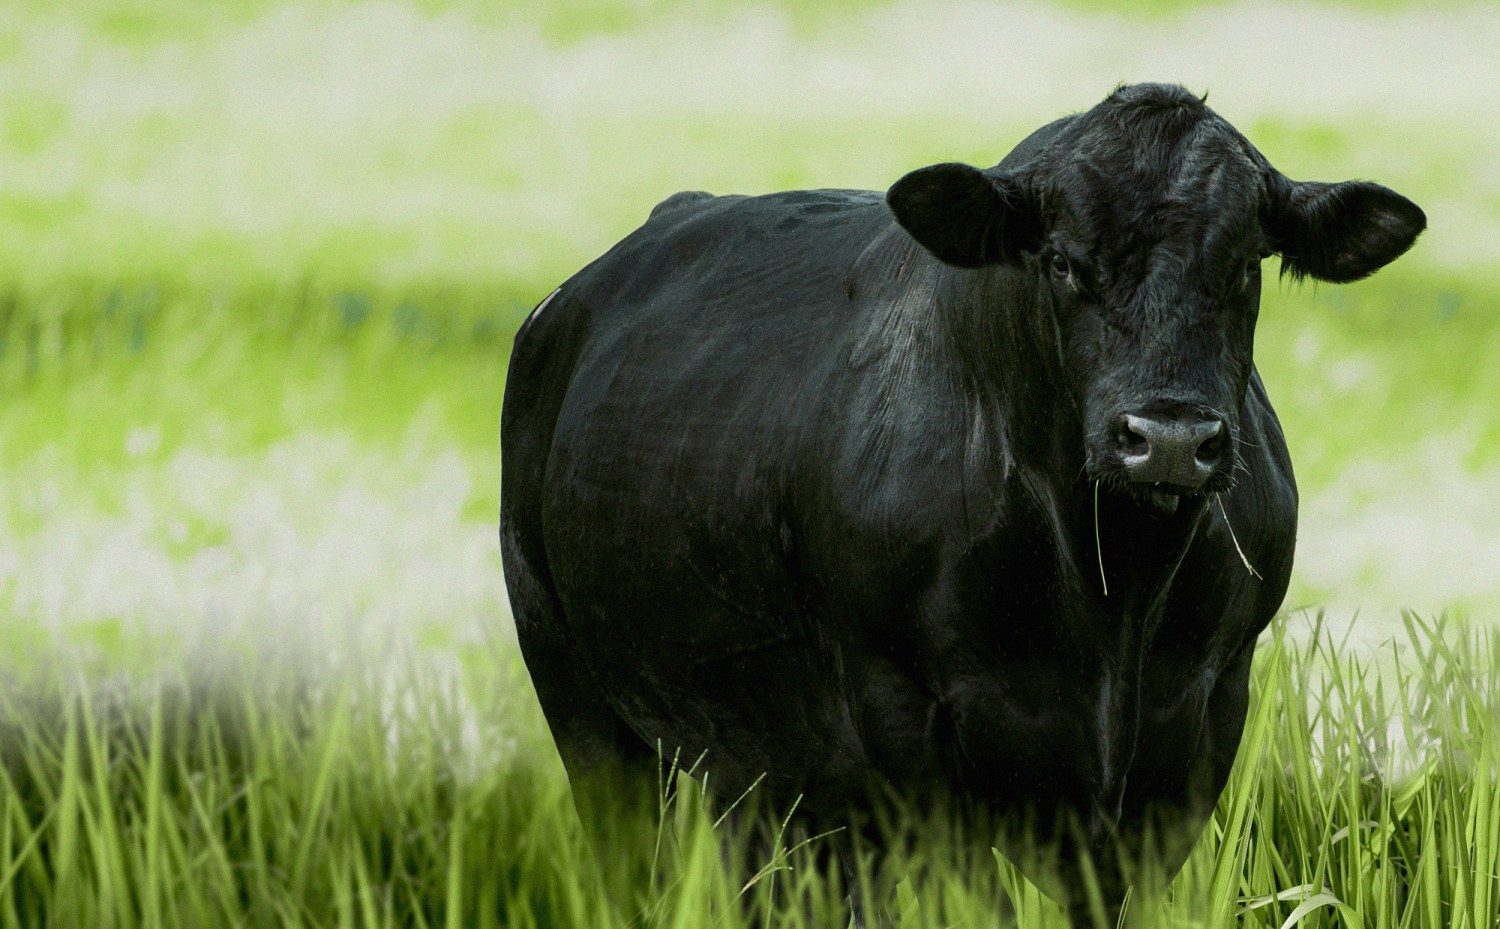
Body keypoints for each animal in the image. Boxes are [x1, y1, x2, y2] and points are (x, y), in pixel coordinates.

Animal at [498, 81, 1422, 924]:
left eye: (1244, 264)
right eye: (1061, 261)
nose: (1166, 438)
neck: (1113, 596)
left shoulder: (1204, 710)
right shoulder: (902, 716)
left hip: (760, 765)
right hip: (581, 699)